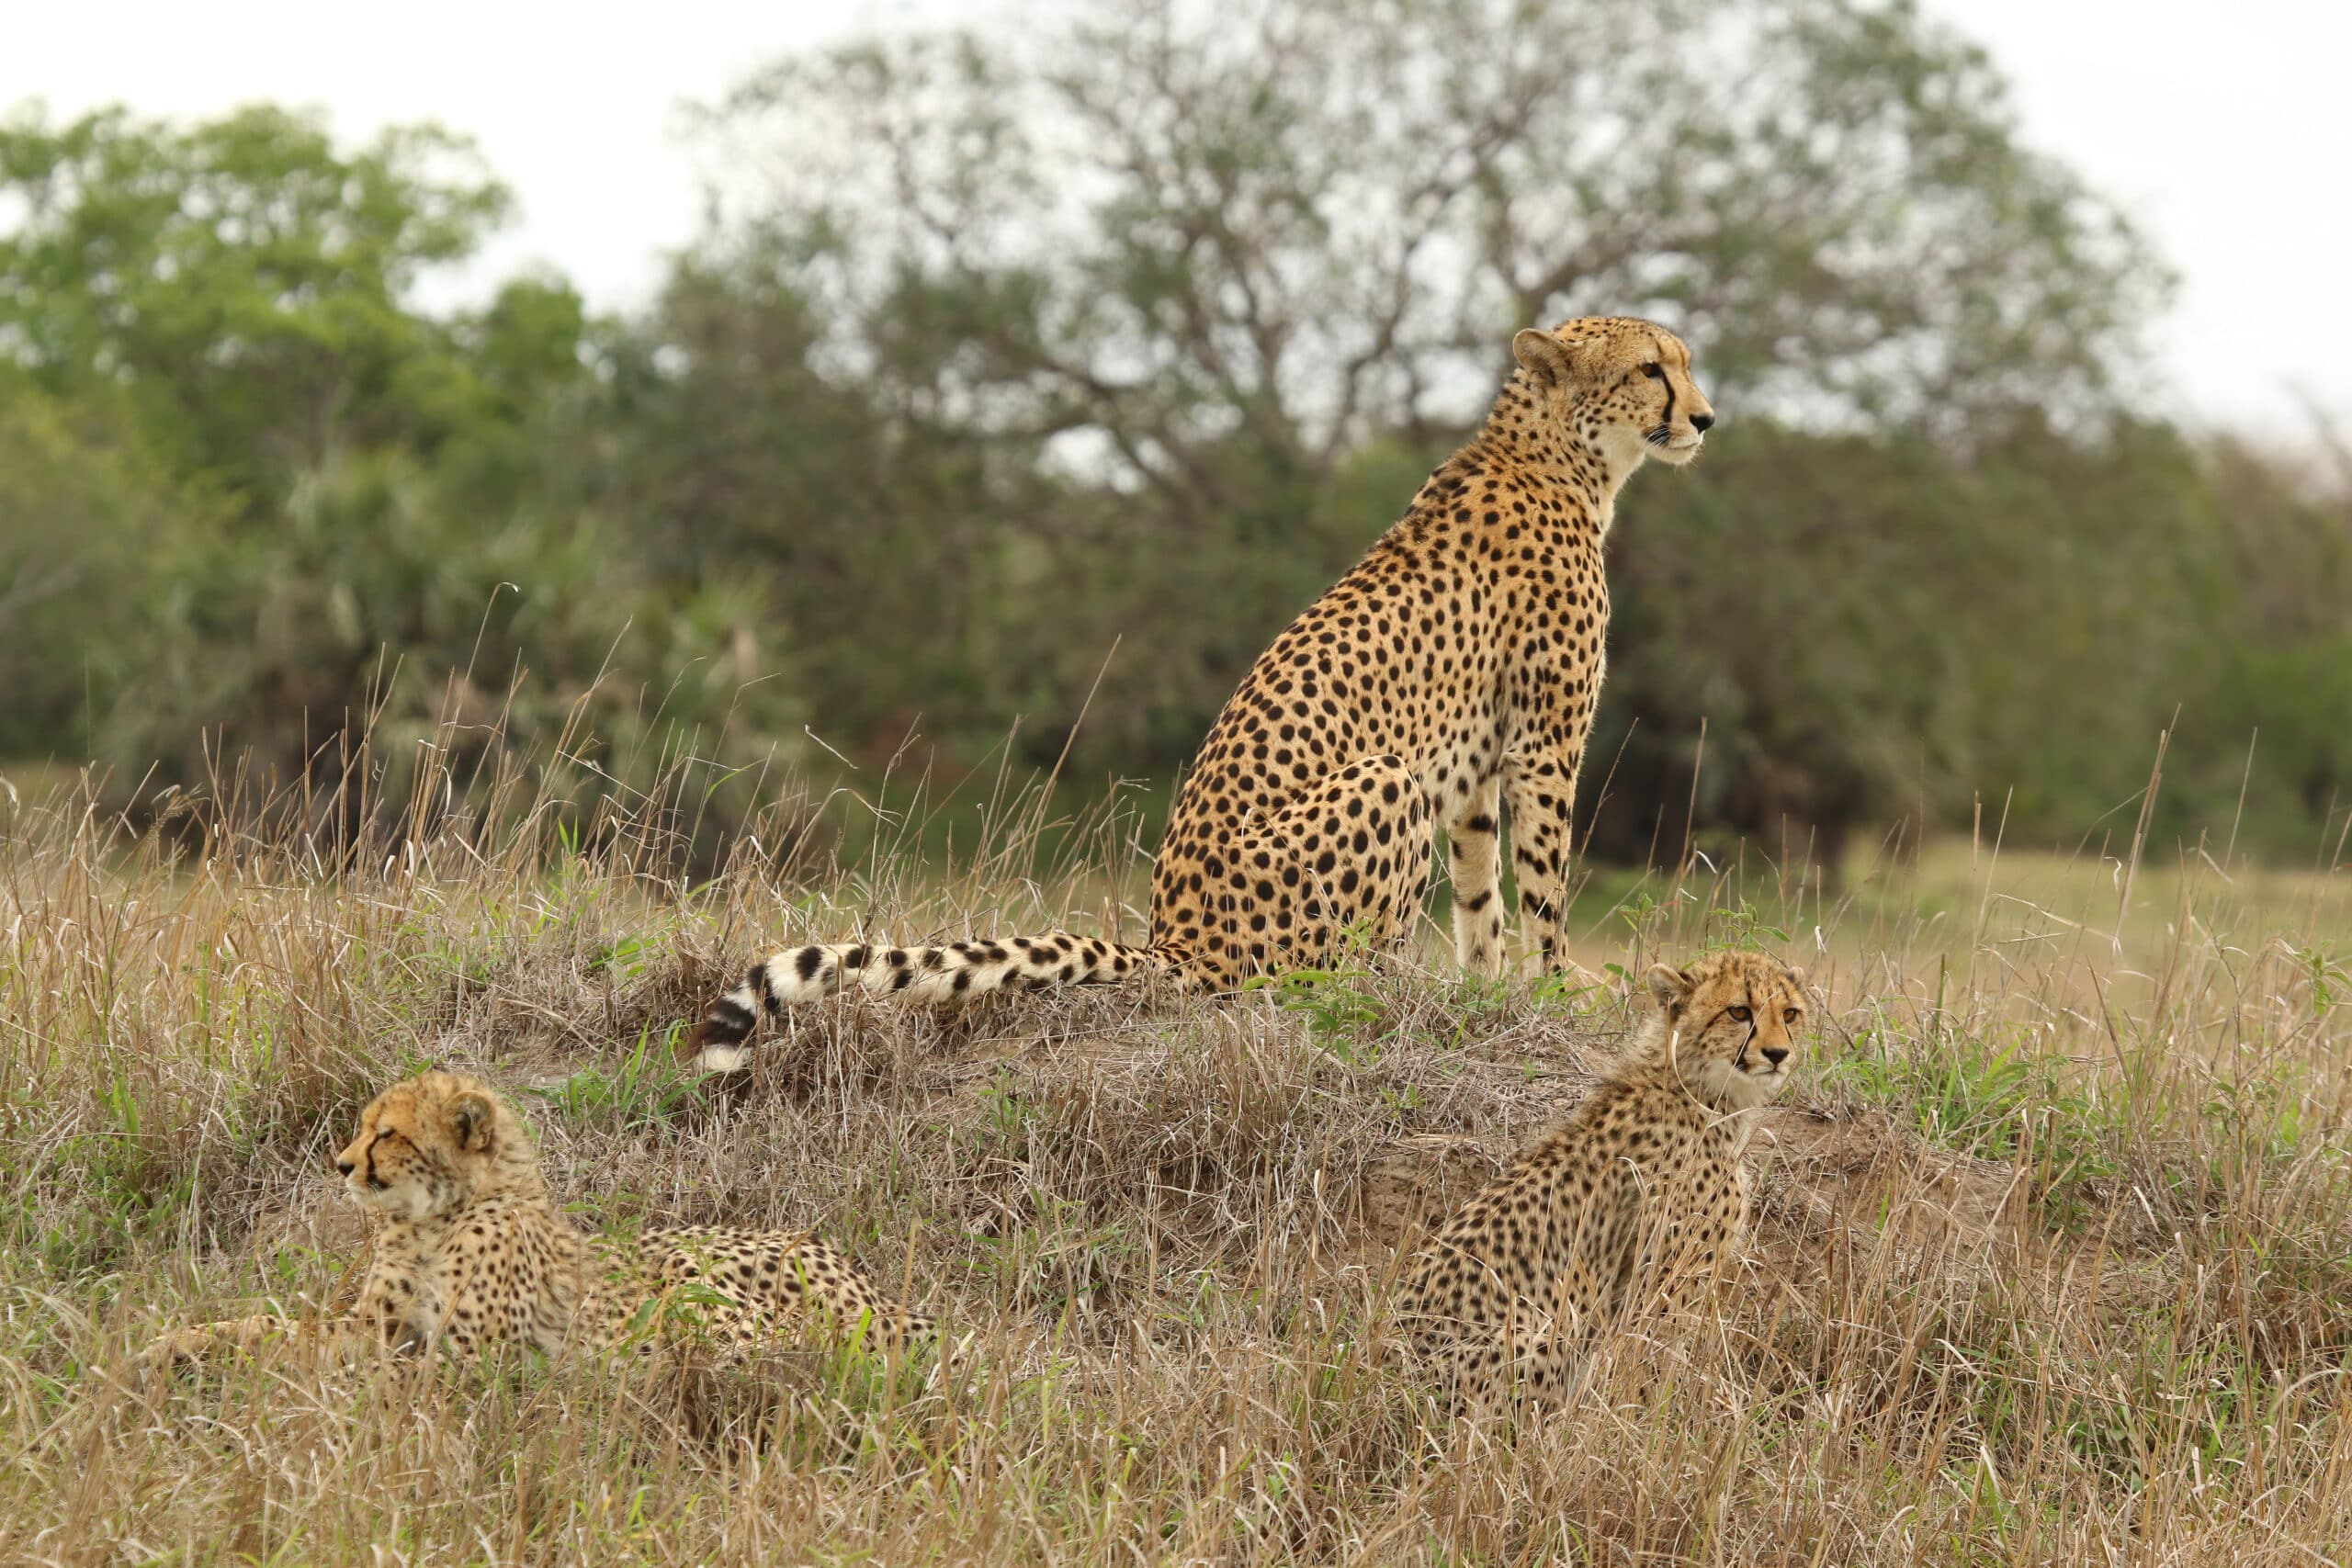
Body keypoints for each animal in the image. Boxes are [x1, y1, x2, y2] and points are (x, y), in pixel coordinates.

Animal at [140, 1070, 931, 1370]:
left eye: (386, 1133)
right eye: (363, 1127)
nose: (340, 1164)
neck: (434, 1216)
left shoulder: (467, 1353)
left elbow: (374, 1370)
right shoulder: (375, 1323)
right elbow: (272, 1325)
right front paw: (171, 1344)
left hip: (692, 1281)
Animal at [686, 317, 1715, 1073]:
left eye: (1685, 362)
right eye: (1652, 368)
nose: (1705, 419)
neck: (1557, 457)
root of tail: (1175, 940)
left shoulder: (1474, 770)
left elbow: (1481, 895)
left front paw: (1492, 991)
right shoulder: (1542, 745)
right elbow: (1542, 883)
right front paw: (1556, 988)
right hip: (1384, 779)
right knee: (1305, 981)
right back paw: (1384, 996)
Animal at [1395, 948, 1808, 1403]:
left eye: (1789, 1013)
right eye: (1738, 1011)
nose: (1778, 1053)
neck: (1693, 1085)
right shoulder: (1662, 1285)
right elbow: (1651, 1365)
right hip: (1551, 1326)